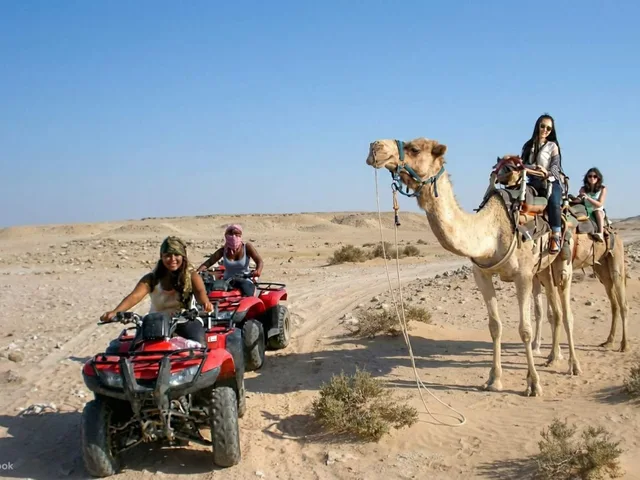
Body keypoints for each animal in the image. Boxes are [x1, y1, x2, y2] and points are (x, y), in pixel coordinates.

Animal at [365, 137, 582, 397]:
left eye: (414, 149)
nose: (375, 147)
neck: (491, 231)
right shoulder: (482, 274)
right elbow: (495, 326)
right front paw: (494, 380)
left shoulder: (522, 276)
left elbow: (525, 330)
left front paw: (533, 384)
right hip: (542, 269)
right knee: (555, 311)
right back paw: (552, 357)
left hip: (563, 262)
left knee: (567, 312)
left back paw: (574, 366)